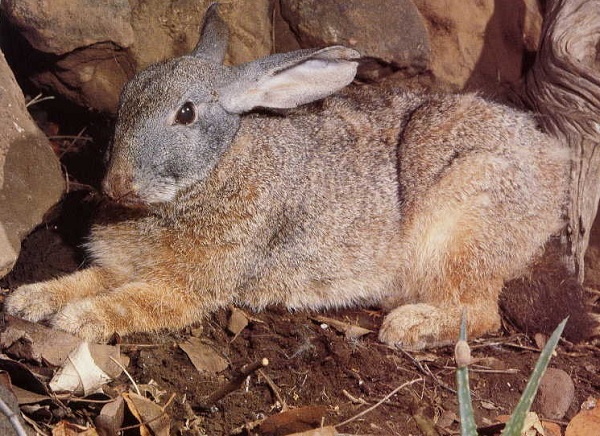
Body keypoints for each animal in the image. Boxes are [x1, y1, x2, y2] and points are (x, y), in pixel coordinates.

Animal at [4, 5, 576, 350]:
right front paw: (28, 300)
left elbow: (135, 301)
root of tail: (554, 166)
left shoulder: (188, 286)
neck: (212, 172)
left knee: (479, 313)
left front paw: (78, 320)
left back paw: (408, 324)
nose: (118, 186)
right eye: (125, 99)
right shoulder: (120, 265)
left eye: (186, 114)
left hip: (462, 220)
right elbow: (86, 278)